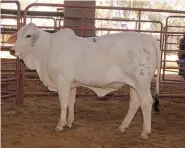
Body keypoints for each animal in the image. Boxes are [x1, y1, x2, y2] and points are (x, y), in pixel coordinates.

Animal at [7, 22, 160, 139]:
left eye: (28, 35)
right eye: (18, 35)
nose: (12, 50)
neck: (47, 50)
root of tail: (150, 39)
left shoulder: (63, 81)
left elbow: (63, 104)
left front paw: (60, 125)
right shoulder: (72, 84)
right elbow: (71, 103)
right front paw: (69, 122)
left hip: (142, 83)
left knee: (146, 103)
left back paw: (145, 132)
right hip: (133, 84)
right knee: (135, 103)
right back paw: (123, 126)